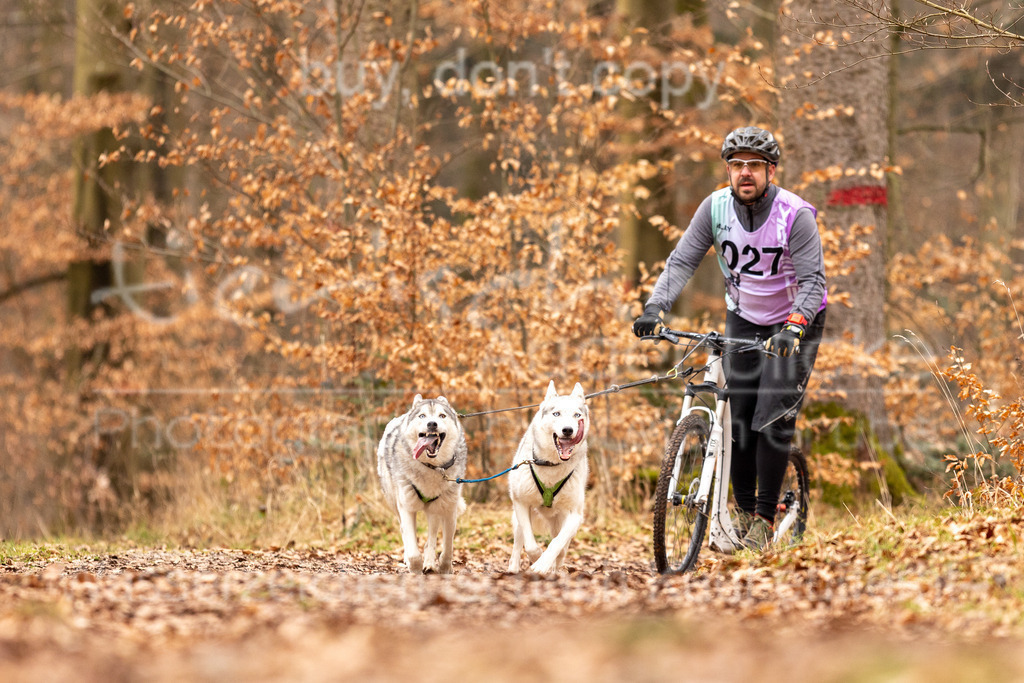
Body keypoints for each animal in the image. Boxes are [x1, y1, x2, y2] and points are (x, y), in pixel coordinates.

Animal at [378, 393, 468, 573]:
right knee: (404, 532)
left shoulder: (449, 510)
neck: (432, 468)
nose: (432, 423)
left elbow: (447, 549)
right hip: (395, 504)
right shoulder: (406, 507)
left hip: (434, 509)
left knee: (431, 537)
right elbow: (413, 551)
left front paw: (444, 569)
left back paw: (430, 563)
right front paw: (414, 568)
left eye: (442, 416)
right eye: (422, 416)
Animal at [505, 382, 589, 573]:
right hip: (518, 520)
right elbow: (530, 545)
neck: (551, 465)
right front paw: (537, 558)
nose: (568, 430)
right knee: (518, 544)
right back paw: (513, 569)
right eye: (556, 413)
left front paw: (543, 564)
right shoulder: (521, 503)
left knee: (561, 548)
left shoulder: (575, 515)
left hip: (562, 522)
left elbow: (557, 544)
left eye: (577, 415)